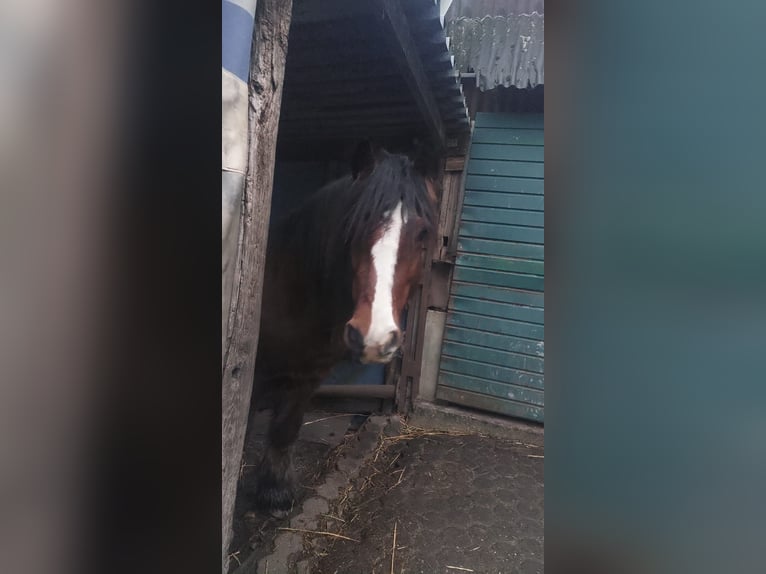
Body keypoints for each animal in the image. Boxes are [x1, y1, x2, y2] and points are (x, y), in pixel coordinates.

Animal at [250, 143, 438, 512]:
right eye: (354, 223)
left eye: (422, 233)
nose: (375, 336)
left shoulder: (308, 377)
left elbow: (285, 427)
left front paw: (274, 493)